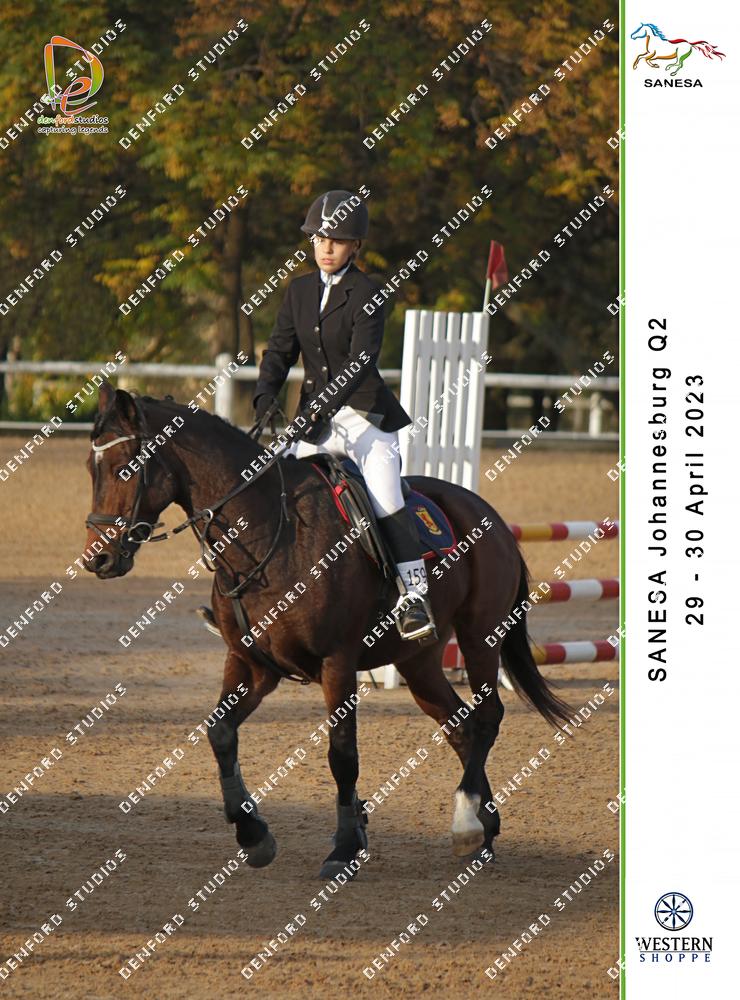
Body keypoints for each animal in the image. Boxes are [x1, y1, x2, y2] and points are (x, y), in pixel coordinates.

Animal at [84, 381, 571, 877]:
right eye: (90, 468)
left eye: (125, 468)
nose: (98, 559)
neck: (269, 533)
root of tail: (489, 515)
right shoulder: (252, 663)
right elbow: (220, 733)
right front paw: (254, 835)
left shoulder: (337, 663)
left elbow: (342, 754)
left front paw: (344, 846)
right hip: (419, 662)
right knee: (462, 727)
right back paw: (483, 828)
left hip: (479, 637)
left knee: (488, 717)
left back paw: (467, 825)